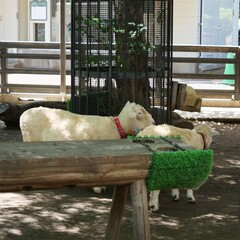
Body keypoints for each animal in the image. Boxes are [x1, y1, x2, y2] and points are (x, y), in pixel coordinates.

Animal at [19, 101, 155, 193]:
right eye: (139, 113)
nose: (154, 122)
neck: (115, 126)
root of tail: (23, 115)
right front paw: (98, 188)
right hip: (29, 138)